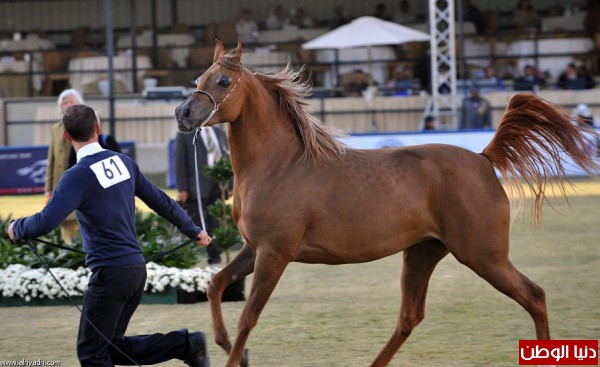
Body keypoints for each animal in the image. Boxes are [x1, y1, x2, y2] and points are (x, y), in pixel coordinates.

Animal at [176, 40, 596, 367]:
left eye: (223, 81)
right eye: (198, 80)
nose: (183, 114)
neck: (281, 165)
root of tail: (483, 159)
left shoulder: (274, 253)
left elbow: (248, 316)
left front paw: (236, 355)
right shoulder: (253, 249)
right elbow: (215, 285)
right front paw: (228, 347)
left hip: (483, 255)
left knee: (534, 296)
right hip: (424, 253)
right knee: (409, 317)